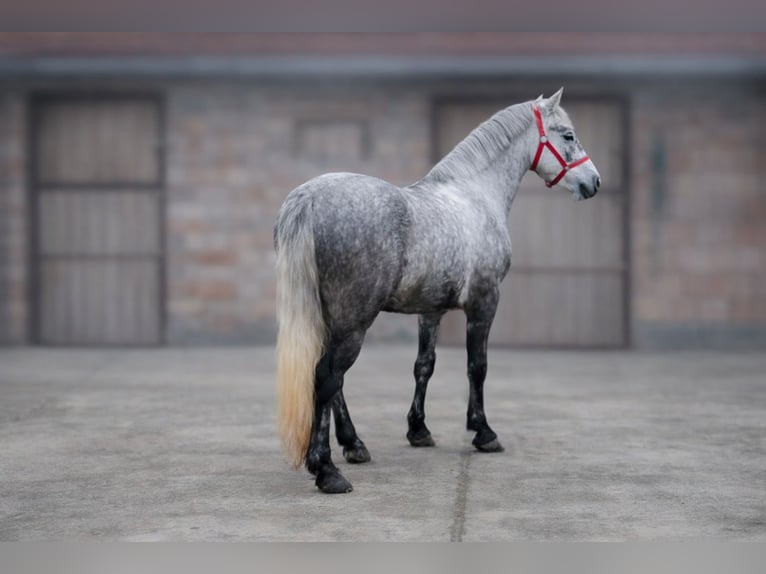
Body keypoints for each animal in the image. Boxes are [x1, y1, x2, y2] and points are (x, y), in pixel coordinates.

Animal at [274, 88, 601, 493]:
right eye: (568, 135)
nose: (594, 182)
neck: (473, 195)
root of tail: (307, 197)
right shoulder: (484, 303)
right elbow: (477, 366)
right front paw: (484, 432)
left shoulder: (430, 311)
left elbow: (423, 366)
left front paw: (419, 430)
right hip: (354, 322)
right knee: (327, 378)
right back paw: (327, 471)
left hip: (333, 319)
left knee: (334, 383)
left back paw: (354, 445)